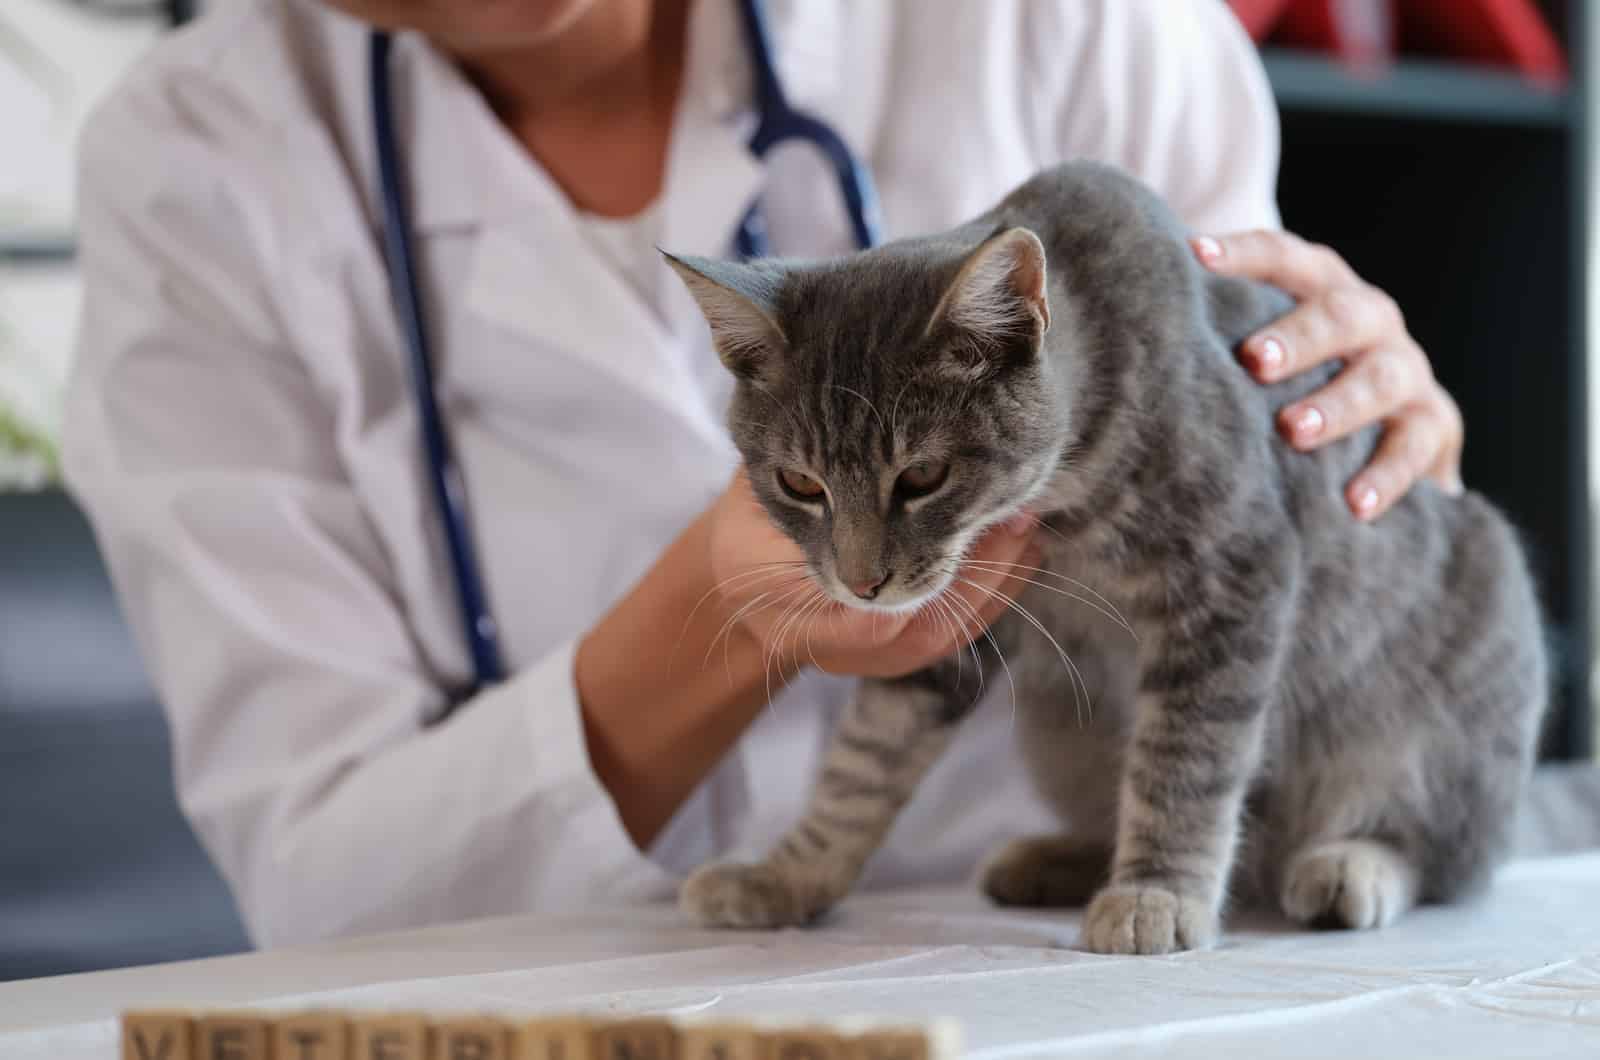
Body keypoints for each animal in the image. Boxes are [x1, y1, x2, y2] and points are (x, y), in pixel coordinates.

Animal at [662, 161, 1548, 960]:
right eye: (798, 484)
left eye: (921, 477)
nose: (861, 582)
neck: (1065, 503)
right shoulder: (953, 629)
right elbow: (863, 763)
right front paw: (786, 876)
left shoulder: (1234, 573)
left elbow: (1185, 760)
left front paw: (1158, 893)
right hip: (1061, 732)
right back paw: (1055, 859)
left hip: (1453, 695)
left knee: (1448, 852)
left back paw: (1351, 864)